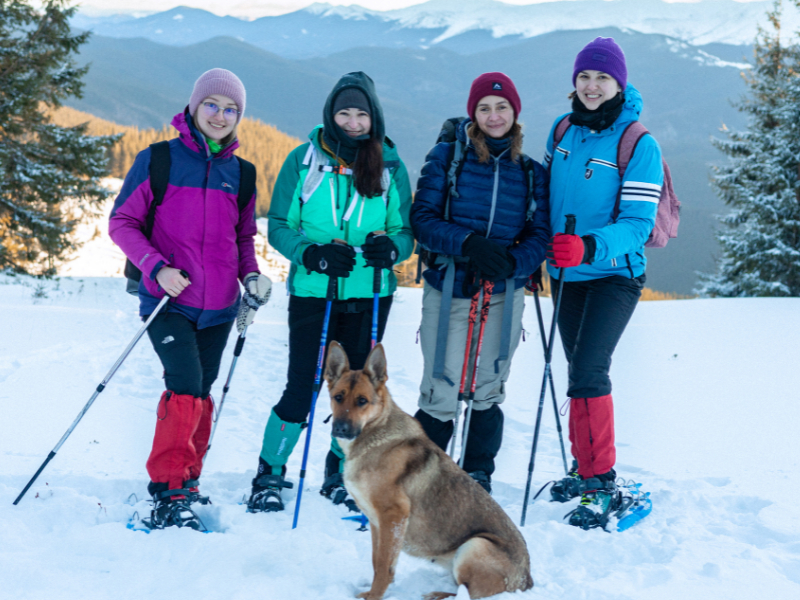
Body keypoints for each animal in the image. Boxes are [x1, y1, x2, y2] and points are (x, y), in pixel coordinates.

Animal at [324, 342, 532, 600]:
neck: (375, 434)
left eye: (362, 401)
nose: (340, 429)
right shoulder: (376, 522)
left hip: (474, 545)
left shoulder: (394, 516)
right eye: (338, 397)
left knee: (470, 593)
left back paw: (437, 595)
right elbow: (377, 560)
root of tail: (526, 578)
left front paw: (374, 596)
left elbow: (383, 565)